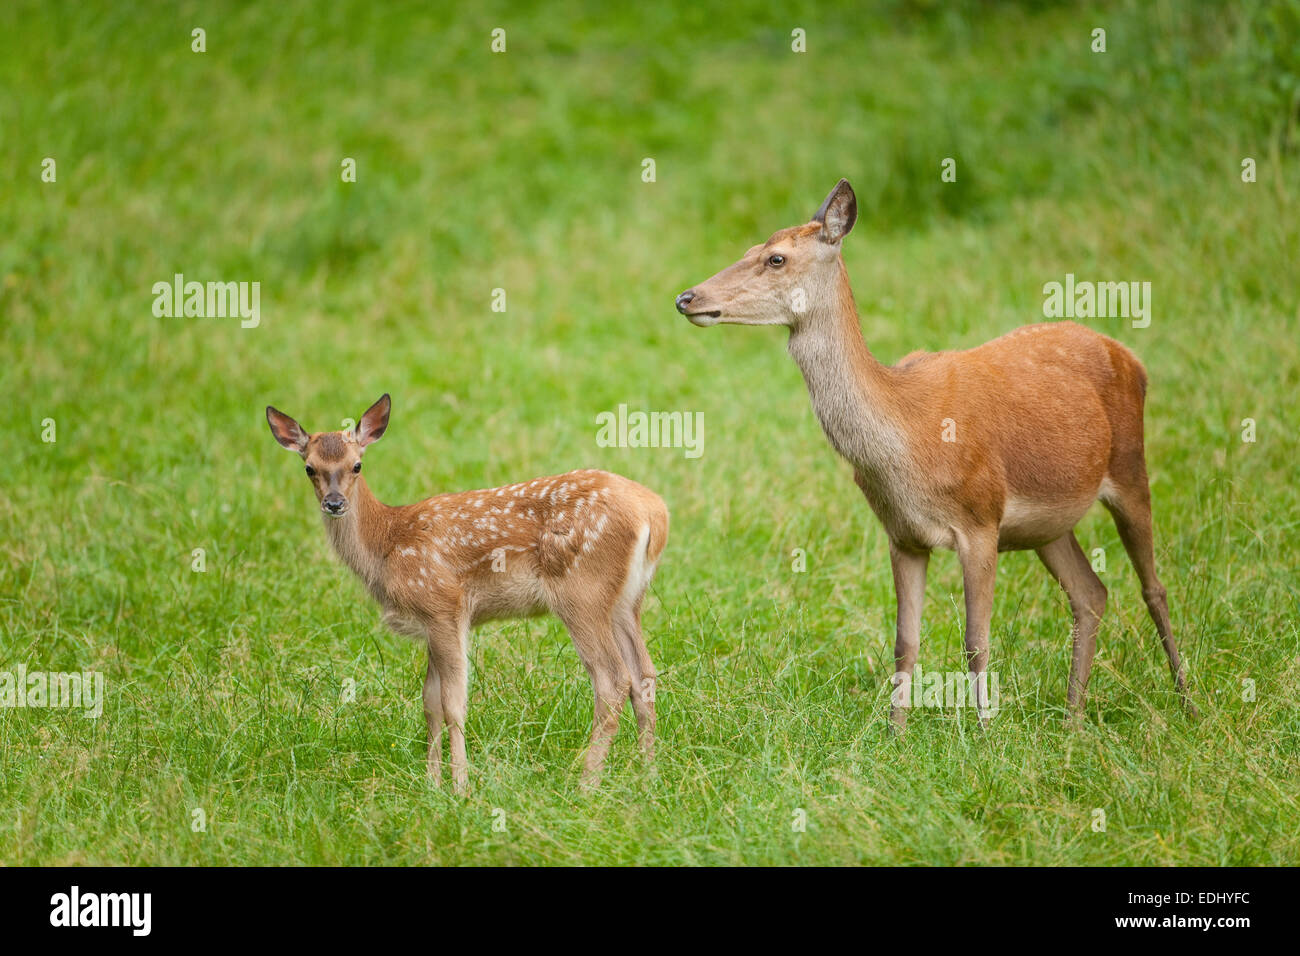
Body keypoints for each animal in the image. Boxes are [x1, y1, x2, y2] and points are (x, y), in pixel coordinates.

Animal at [266, 394, 668, 791]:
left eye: (357, 466)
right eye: (310, 468)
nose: (334, 503)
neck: (386, 545)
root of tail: (654, 513)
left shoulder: (443, 604)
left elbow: (453, 702)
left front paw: (460, 786)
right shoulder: (430, 621)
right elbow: (429, 702)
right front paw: (431, 785)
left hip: (582, 591)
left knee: (613, 680)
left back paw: (587, 784)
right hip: (625, 600)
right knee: (644, 675)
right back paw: (647, 777)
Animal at [675, 179, 1196, 728]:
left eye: (776, 258)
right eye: (749, 248)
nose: (687, 297)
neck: (907, 438)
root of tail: (1131, 357)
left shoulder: (981, 519)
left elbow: (976, 640)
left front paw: (987, 732)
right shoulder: (902, 533)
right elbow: (904, 642)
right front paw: (895, 734)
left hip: (1131, 465)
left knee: (1153, 587)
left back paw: (1186, 702)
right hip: (1049, 526)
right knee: (1091, 592)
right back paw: (1073, 718)